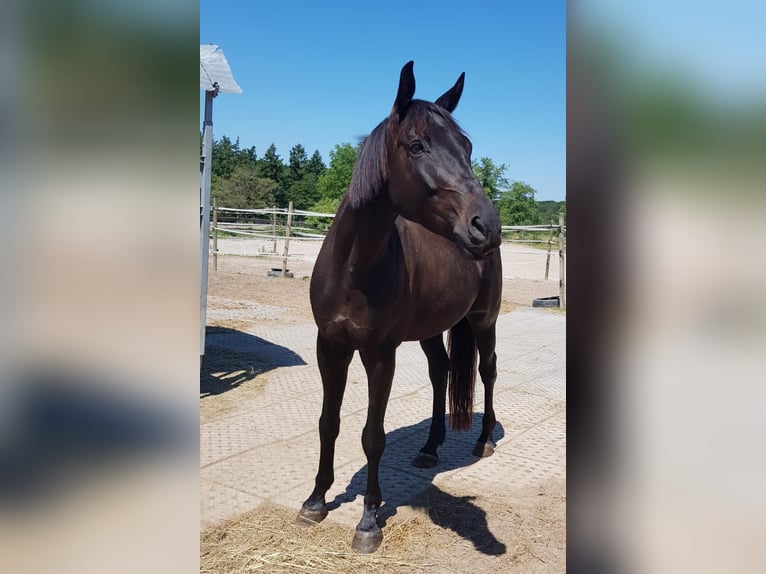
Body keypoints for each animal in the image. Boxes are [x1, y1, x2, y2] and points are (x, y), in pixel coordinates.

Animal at [298, 62, 504, 552]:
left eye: (468, 148)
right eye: (416, 145)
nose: (487, 227)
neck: (353, 267)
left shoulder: (380, 355)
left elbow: (373, 436)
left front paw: (368, 520)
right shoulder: (329, 347)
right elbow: (328, 422)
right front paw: (315, 500)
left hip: (484, 321)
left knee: (487, 371)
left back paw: (484, 441)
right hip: (431, 330)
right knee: (441, 370)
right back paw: (429, 448)